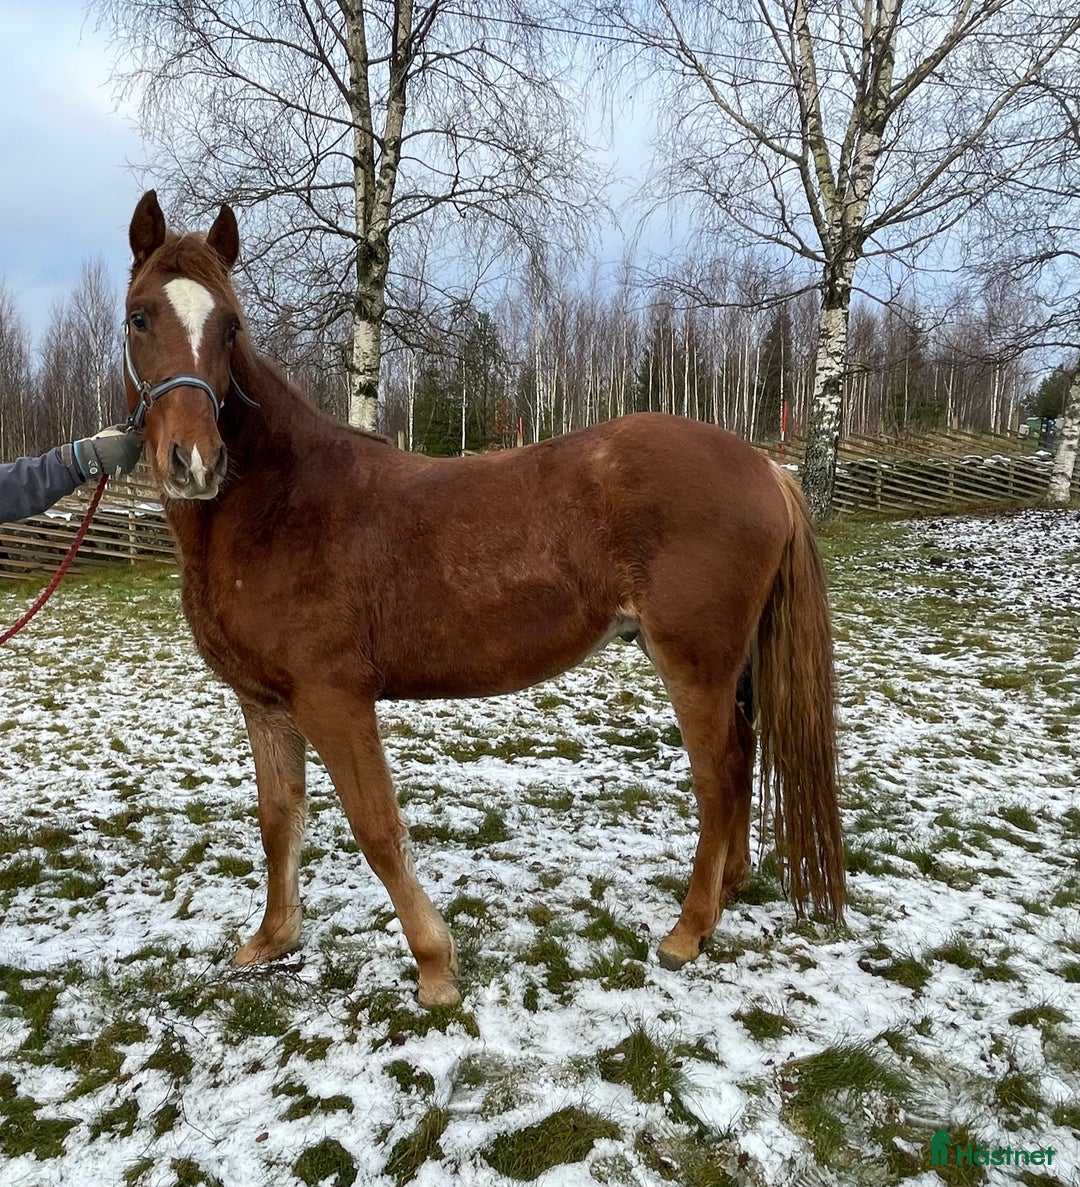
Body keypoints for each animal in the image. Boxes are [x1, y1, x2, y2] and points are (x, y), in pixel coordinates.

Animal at [123, 190, 844, 1007]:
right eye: (140, 316)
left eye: (230, 327)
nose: (194, 460)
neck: (279, 503)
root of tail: (766, 467)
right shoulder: (265, 702)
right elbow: (280, 821)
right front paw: (272, 940)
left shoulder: (333, 699)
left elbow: (377, 829)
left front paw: (436, 967)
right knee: (744, 759)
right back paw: (730, 889)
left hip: (696, 664)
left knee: (718, 778)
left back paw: (688, 931)